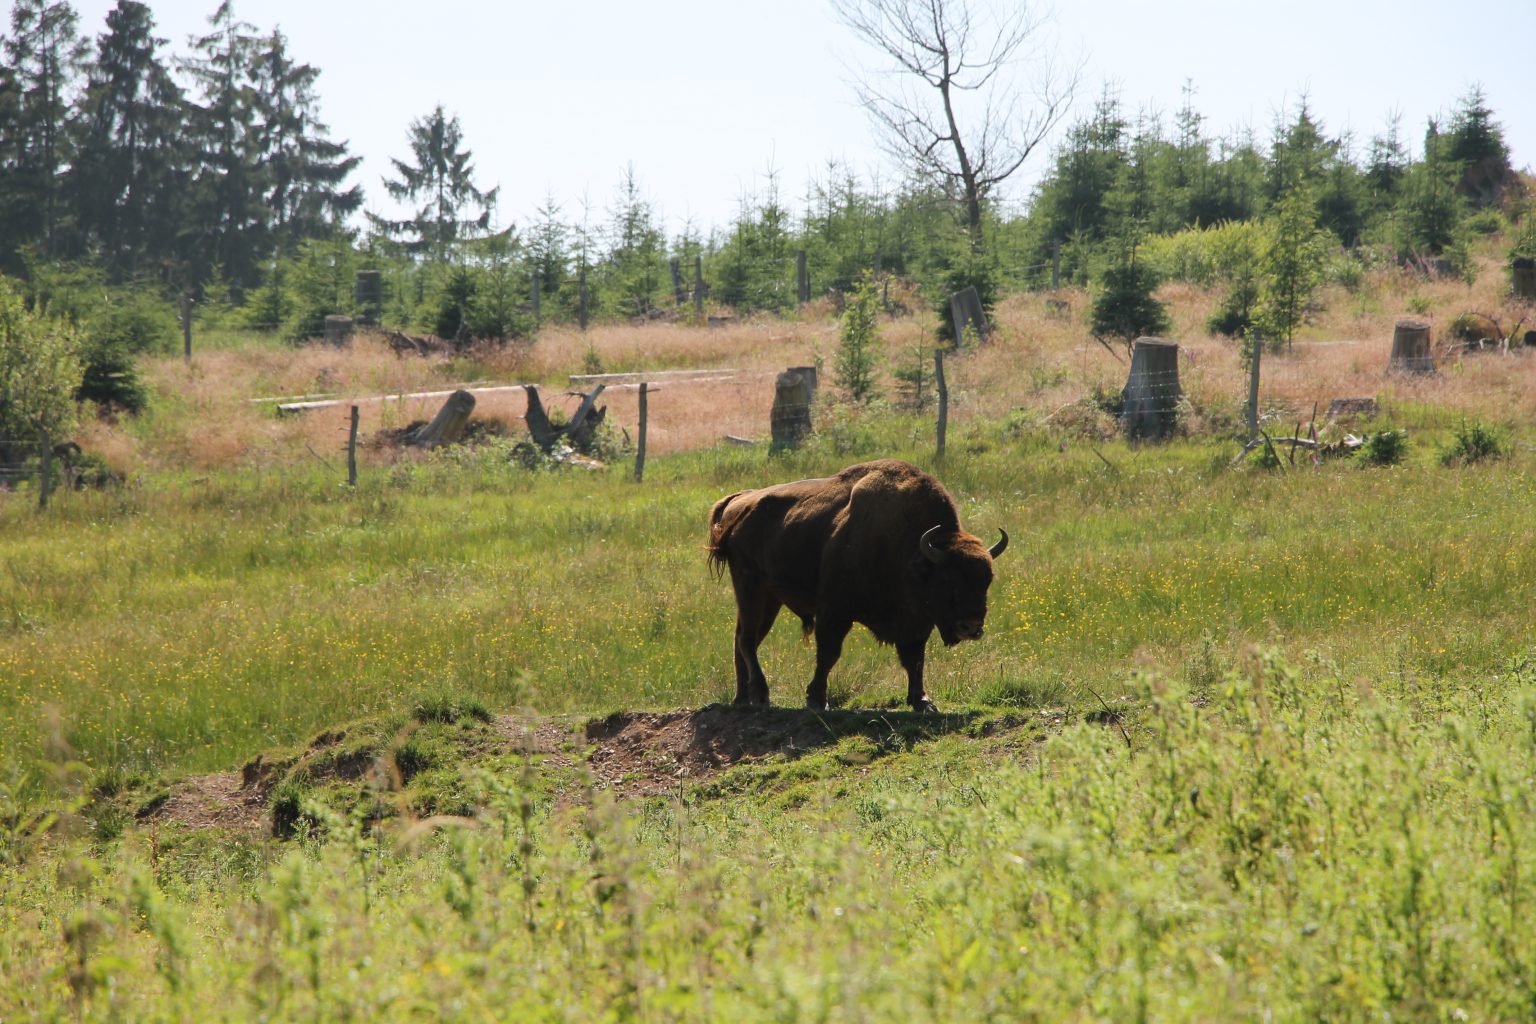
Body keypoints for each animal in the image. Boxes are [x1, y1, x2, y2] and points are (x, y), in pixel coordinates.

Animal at [706, 460, 1007, 709]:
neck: (913, 552)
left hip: (770, 598)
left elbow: (915, 660)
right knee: (747, 640)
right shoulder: (834, 612)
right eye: (947, 578)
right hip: (750, 587)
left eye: (987, 579)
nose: (971, 626)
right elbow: (828, 654)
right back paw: (761, 695)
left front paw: (922, 701)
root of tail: (739, 501)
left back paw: (743, 699)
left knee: (743, 639)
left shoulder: (917, 623)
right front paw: (817, 700)